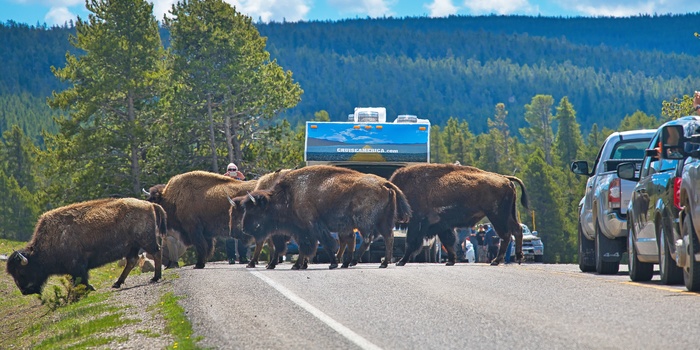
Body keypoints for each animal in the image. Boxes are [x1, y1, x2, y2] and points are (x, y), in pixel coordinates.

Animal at [5, 197, 166, 296]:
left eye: (21, 271)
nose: (24, 291)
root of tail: (149, 204)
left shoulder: (78, 265)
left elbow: (81, 278)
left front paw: (89, 288)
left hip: (146, 241)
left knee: (157, 253)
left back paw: (155, 278)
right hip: (133, 246)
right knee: (131, 261)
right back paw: (117, 283)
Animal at [239, 165, 410, 270]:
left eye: (255, 211)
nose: (244, 229)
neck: (290, 195)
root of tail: (385, 183)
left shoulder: (311, 227)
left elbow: (323, 244)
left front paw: (332, 263)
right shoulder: (302, 230)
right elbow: (306, 247)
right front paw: (298, 265)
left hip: (365, 222)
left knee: (367, 239)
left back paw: (353, 261)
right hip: (383, 221)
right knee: (387, 237)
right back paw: (381, 262)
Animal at [388, 163, 532, 266]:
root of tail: (505, 178)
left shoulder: (416, 223)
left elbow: (411, 242)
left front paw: (400, 261)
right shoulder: (442, 225)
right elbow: (448, 241)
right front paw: (450, 261)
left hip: (497, 216)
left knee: (506, 235)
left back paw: (496, 261)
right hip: (506, 215)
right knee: (516, 230)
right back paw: (518, 257)